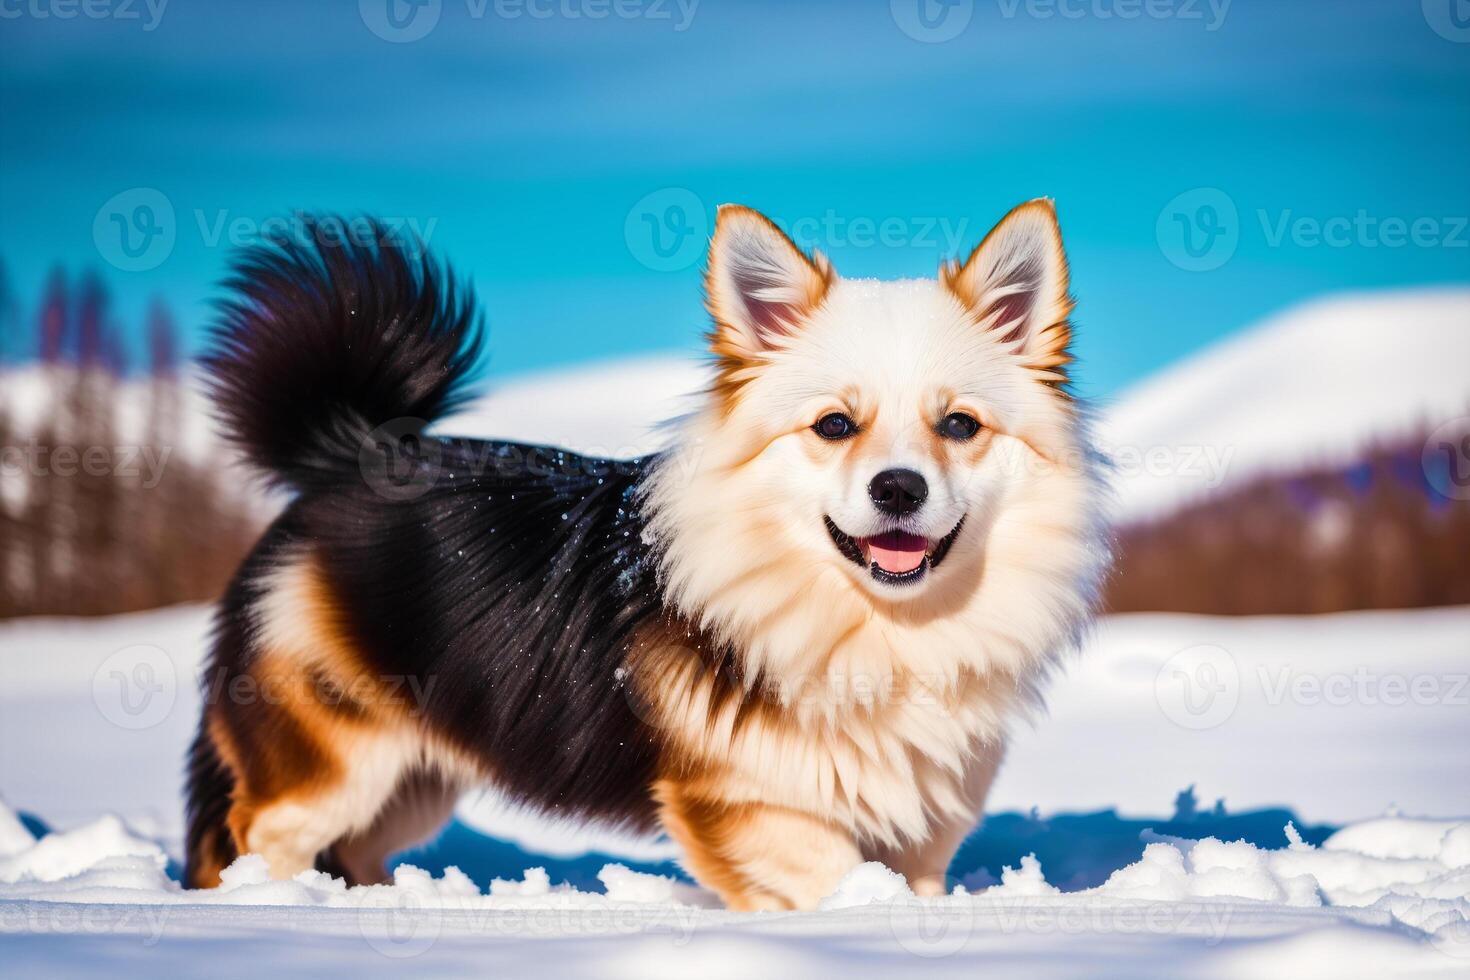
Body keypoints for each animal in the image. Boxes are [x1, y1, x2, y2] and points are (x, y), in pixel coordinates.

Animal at [183, 201, 1105, 910]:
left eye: (960, 425)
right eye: (835, 425)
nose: (899, 489)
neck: (878, 628)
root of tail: (347, 454)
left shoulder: (923, 814)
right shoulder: (741, 798)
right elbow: (833, 878)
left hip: (419, 773)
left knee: (355, 847)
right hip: (340, 756)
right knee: (257, 833)